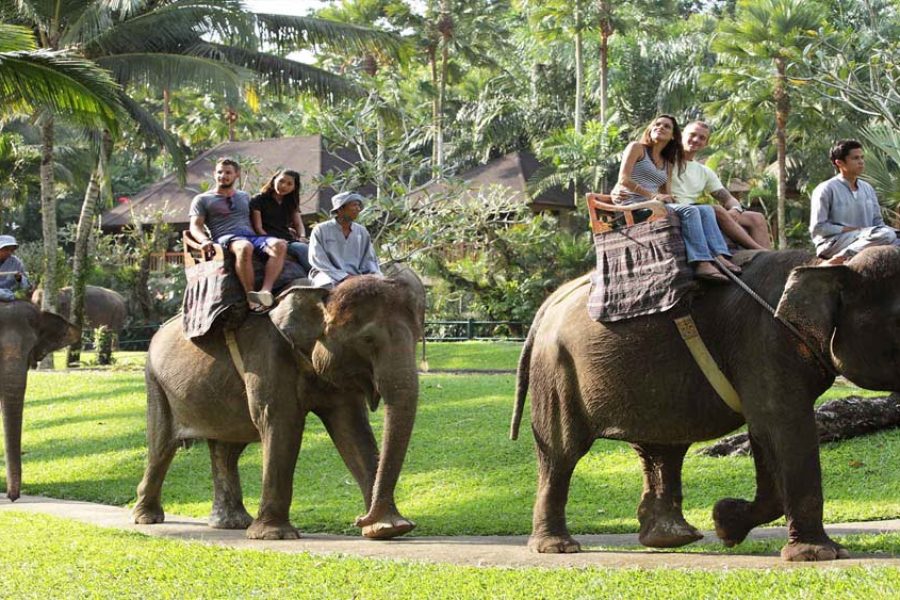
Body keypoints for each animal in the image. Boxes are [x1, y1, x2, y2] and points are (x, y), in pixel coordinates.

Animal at [133, 269, 425, 540]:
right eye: (367, 340)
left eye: (418, 336)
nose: (359, 519)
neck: (319, 294)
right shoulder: (267, 356)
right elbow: (281, 422)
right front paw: (273, 535)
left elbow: (351, 429)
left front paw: (388, 529)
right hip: (155, 382)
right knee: (162, 445)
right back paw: (147, 518)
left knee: (226, 449)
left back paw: (231, 523)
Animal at [510, 246, 900, 561]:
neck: (827, 265)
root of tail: (550, 302)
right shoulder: (764, 342)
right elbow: (783, 427)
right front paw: (819, 555)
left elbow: (765, 434)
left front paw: (725, 523)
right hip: (558, 372)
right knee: (562, 452)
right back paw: (559, 548)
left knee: (662, 447)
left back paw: (670, 539)